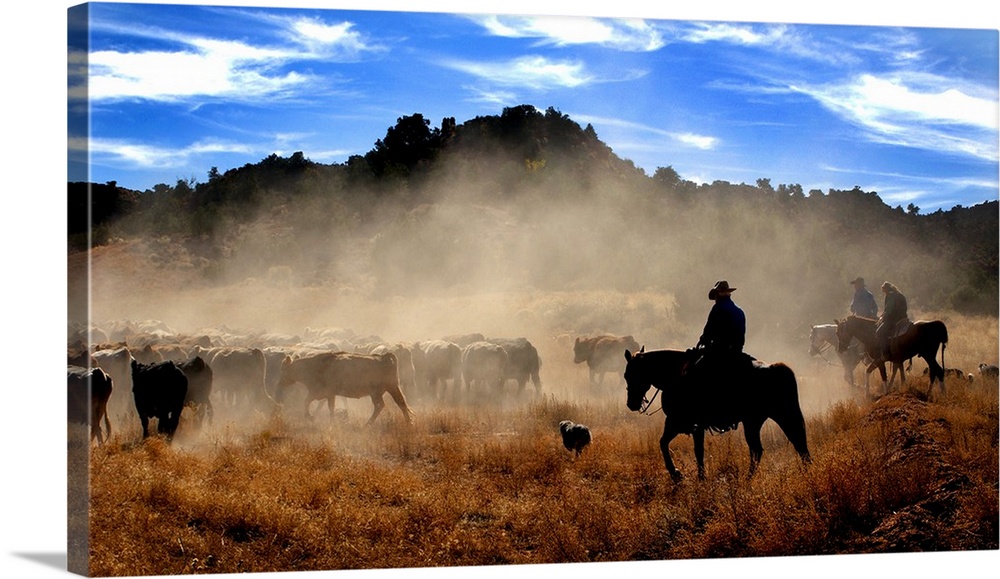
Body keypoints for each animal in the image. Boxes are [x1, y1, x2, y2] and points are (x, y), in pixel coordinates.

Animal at [624, 348, 812, 484]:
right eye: (626, 375)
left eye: (630, 374)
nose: (631, 403)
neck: (675, 375)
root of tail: (774, 368)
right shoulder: (682, 424)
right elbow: (672, 444)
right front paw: (688, 475)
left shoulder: (681, 422)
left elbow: (683, 448)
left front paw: (679, 474)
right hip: (767, 419)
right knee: (793, 444)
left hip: (763, 420)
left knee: (767, 448)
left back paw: (749, 479)